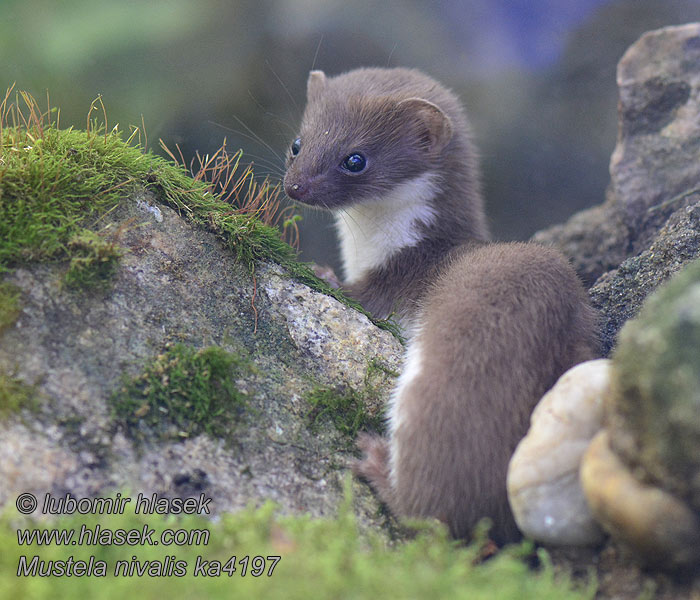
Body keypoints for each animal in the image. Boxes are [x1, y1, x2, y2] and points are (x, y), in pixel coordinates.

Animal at [284, 68, 596, 540]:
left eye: (355, 159)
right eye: (298, 143)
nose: (295, 186)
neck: (372, 249)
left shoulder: (393, 283)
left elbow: (361, 295)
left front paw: (324, 274)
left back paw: (377, 464)